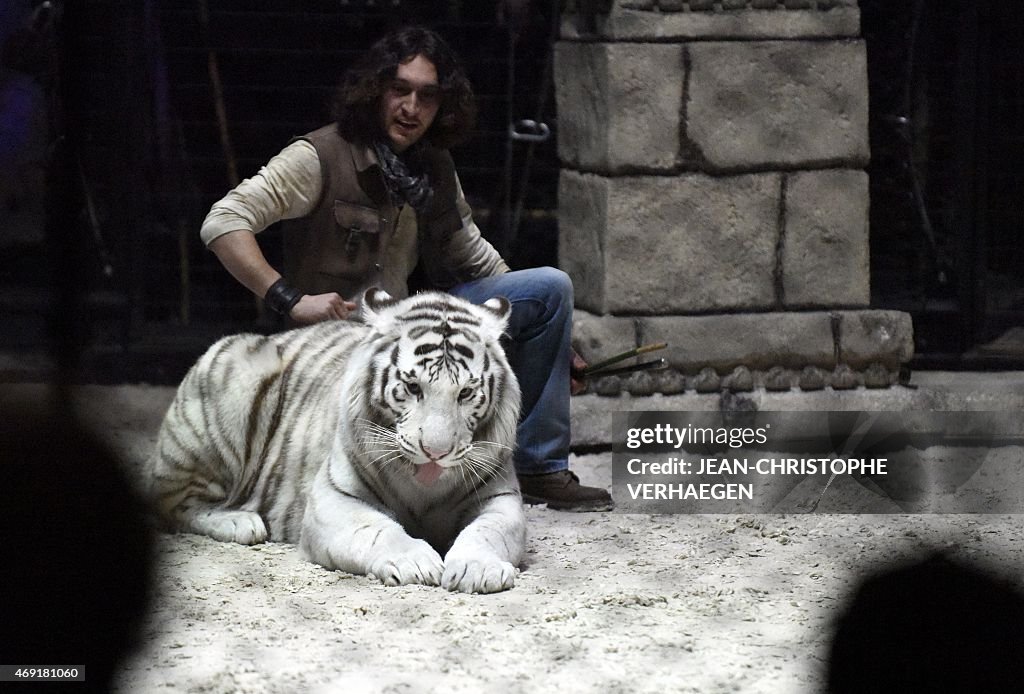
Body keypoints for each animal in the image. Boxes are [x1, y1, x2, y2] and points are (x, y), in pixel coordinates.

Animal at [149, 288, 528, 597]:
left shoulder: (500, 499)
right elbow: (379, 530)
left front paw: (477, 569)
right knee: (176, 504)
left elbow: (488, 532)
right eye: (413, 387)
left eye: (465, 393)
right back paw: (239, 522)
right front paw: (415, 562)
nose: (436, 453)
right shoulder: (333, 499)